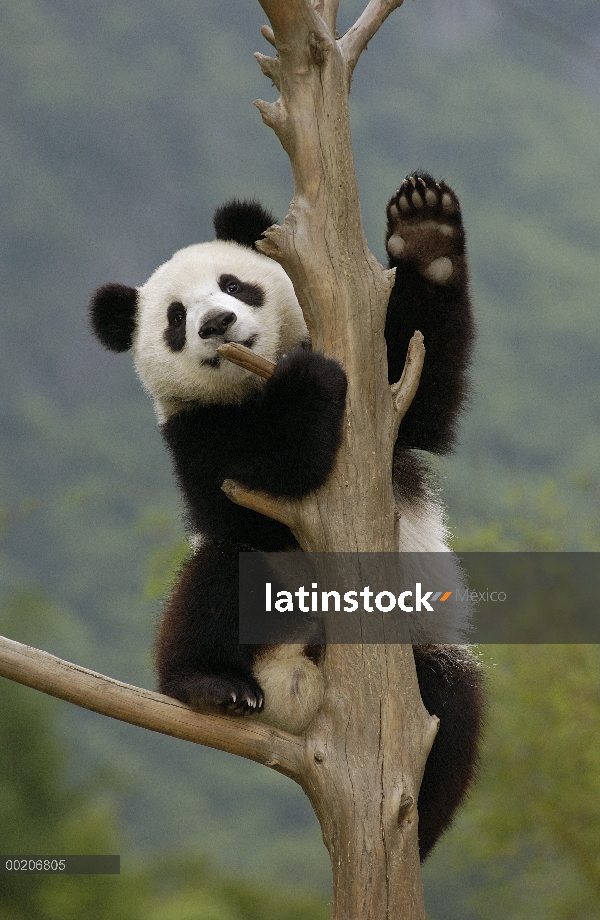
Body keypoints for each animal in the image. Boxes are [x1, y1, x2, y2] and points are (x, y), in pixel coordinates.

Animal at [88, 174, 482, 864]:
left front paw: (425, 232)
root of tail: (296, 700)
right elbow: (249, 492)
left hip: (419, 650)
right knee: (225, 574)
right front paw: (307, 382)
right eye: (175, 318)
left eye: (234, 285)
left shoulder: (385, 413)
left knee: (453, 713)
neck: (253, 386)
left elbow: (421, 380)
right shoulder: (194, 431)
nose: (218, 323)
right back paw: (208, 685)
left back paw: (414, 831)